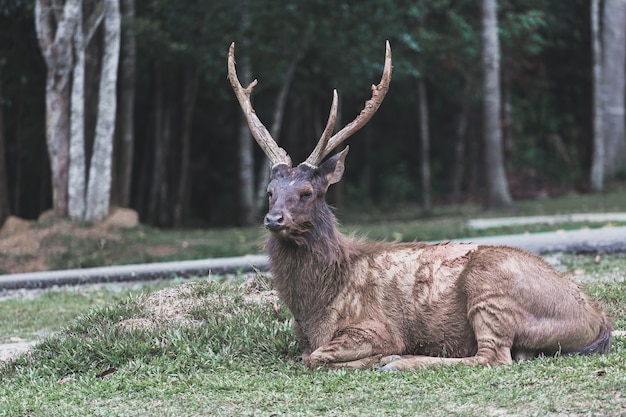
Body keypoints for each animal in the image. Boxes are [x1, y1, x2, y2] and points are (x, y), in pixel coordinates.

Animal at [225, 40, 608, 368]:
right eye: (270, 191)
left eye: (307, 191)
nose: (274, 219)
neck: (314, 307)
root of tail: (597, 319)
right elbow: (306, 354)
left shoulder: (374, 327)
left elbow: (315, 357)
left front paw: (378, 358)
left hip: (491, 289)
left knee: (492, 357)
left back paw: (399, 361)